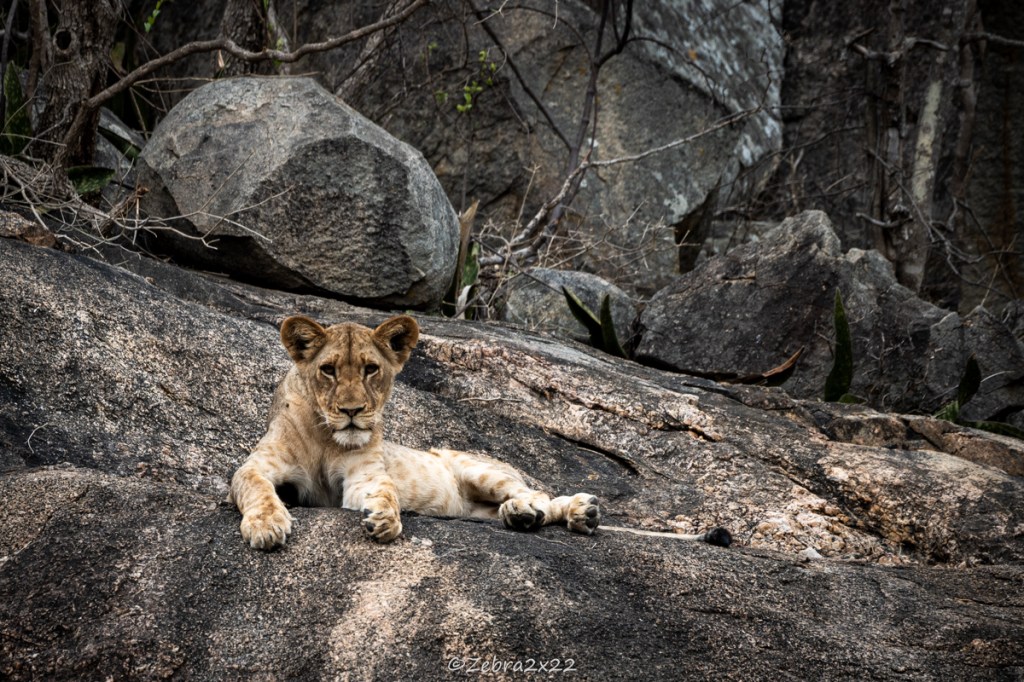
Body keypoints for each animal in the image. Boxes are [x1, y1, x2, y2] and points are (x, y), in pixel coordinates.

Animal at [230, 314, 732, 550]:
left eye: (371, 369)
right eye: (329, 370)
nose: (353, 412)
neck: (323, 436)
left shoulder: (363, 478)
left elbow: (384, 491)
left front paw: (386, 519)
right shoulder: (256, 466)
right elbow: (258, 489)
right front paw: (267, 526)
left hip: (478, 467)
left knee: (537, 493)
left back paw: (569, 511)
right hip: (477, 509)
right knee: (528, 509)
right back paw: (541, 516)